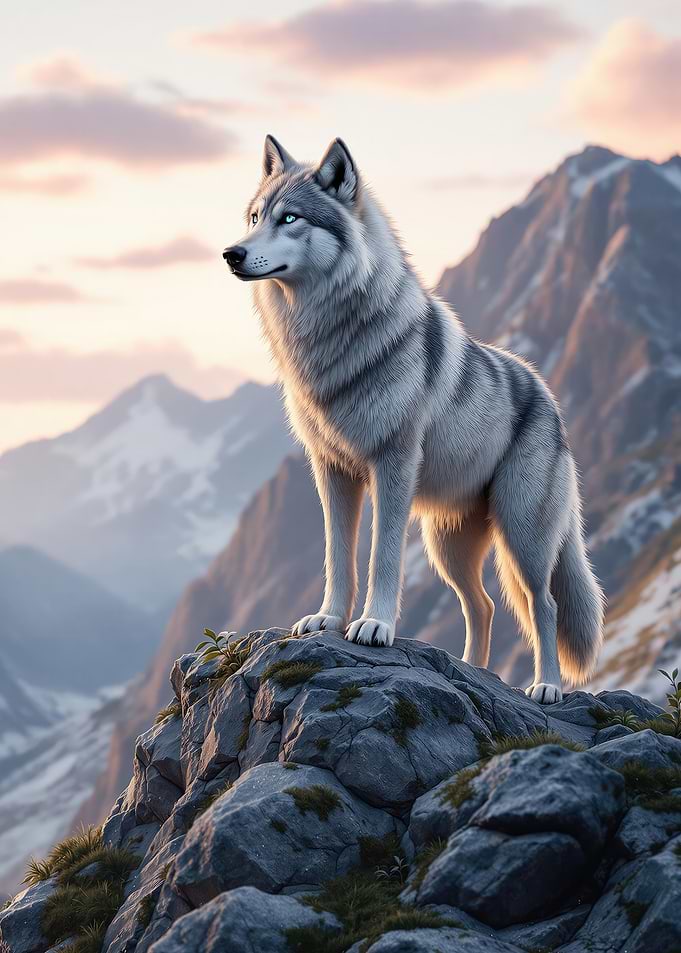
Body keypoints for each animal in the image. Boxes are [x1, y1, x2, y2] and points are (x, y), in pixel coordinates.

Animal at [223, 135, 605, 704]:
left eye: (289, 218)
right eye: (253, 218)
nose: (232, 253)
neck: (328, 340)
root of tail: (547, 394)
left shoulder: (393, 465)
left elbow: (381, 556)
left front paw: (374, 626)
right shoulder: (331, 471)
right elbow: (338, 556)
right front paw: (328, 619)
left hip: (523, 539)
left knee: (545, 606)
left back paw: (545, 688)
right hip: (447, 547)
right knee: (483, 605)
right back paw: (472, 671)